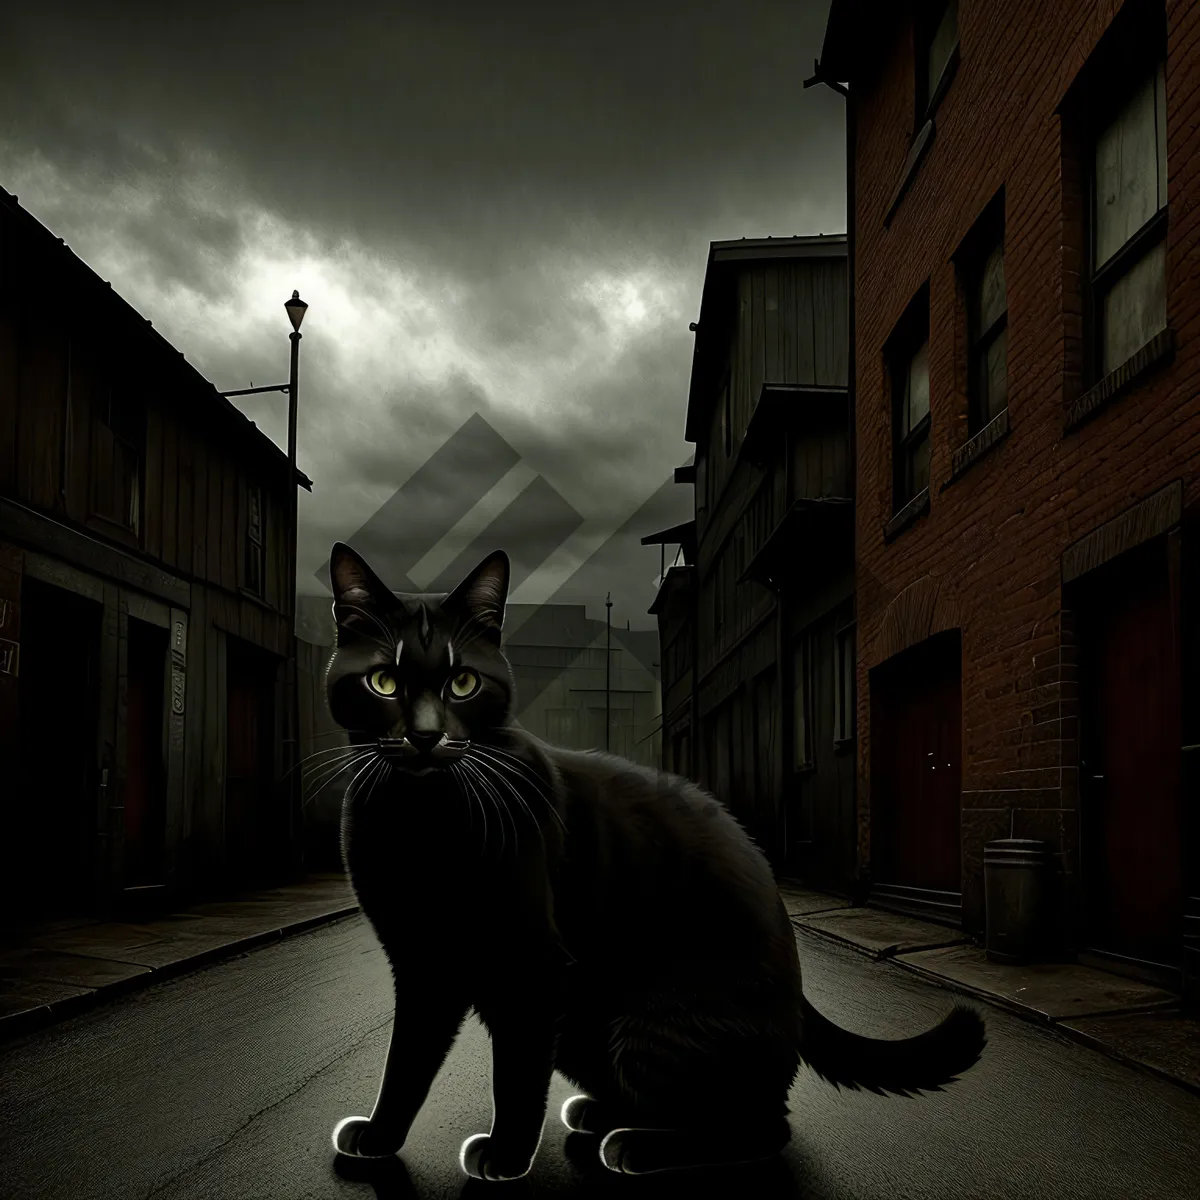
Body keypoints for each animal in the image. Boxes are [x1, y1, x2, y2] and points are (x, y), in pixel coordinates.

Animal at [326, 544, 984, 1180]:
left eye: (462, 683)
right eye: (383, 681)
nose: (424, 736)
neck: (420, 817)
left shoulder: (531, 965)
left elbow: (514, 1072)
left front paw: (506, 1156)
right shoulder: (421, 963)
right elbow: (405, 1062)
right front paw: (380, 1138)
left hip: (656, 1022)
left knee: (763, 1126)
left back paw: (635, 1147)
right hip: (585, 1026)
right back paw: (601, 1116)